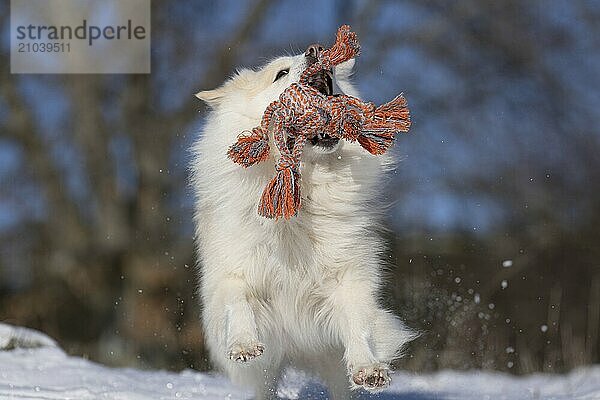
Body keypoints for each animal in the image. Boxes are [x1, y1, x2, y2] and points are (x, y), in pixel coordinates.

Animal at [190, 42, 414, 398]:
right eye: (280, 73)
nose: (316, 50)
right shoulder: (231, 270)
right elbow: (238, 301)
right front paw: (244, 344)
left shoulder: (348, 275)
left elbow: (358, 323)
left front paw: (369, 369)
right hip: (266, 372)